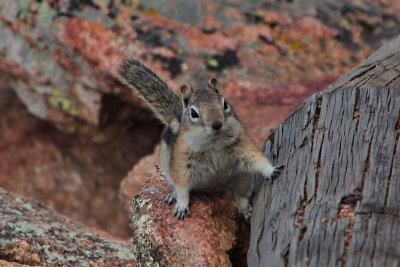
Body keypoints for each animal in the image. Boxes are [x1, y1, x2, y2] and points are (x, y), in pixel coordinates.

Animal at [119, 59, 284, 221]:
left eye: (225, 104)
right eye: (194, 113)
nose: (217, 124)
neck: (214, 144)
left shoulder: (243, 145)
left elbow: (258, 160)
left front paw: (272, 171)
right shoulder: (182, 164)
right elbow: (182, 187)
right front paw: (181, 205)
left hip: (242, 178)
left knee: (239, 195)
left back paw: (245, 209)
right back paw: (173, 195)